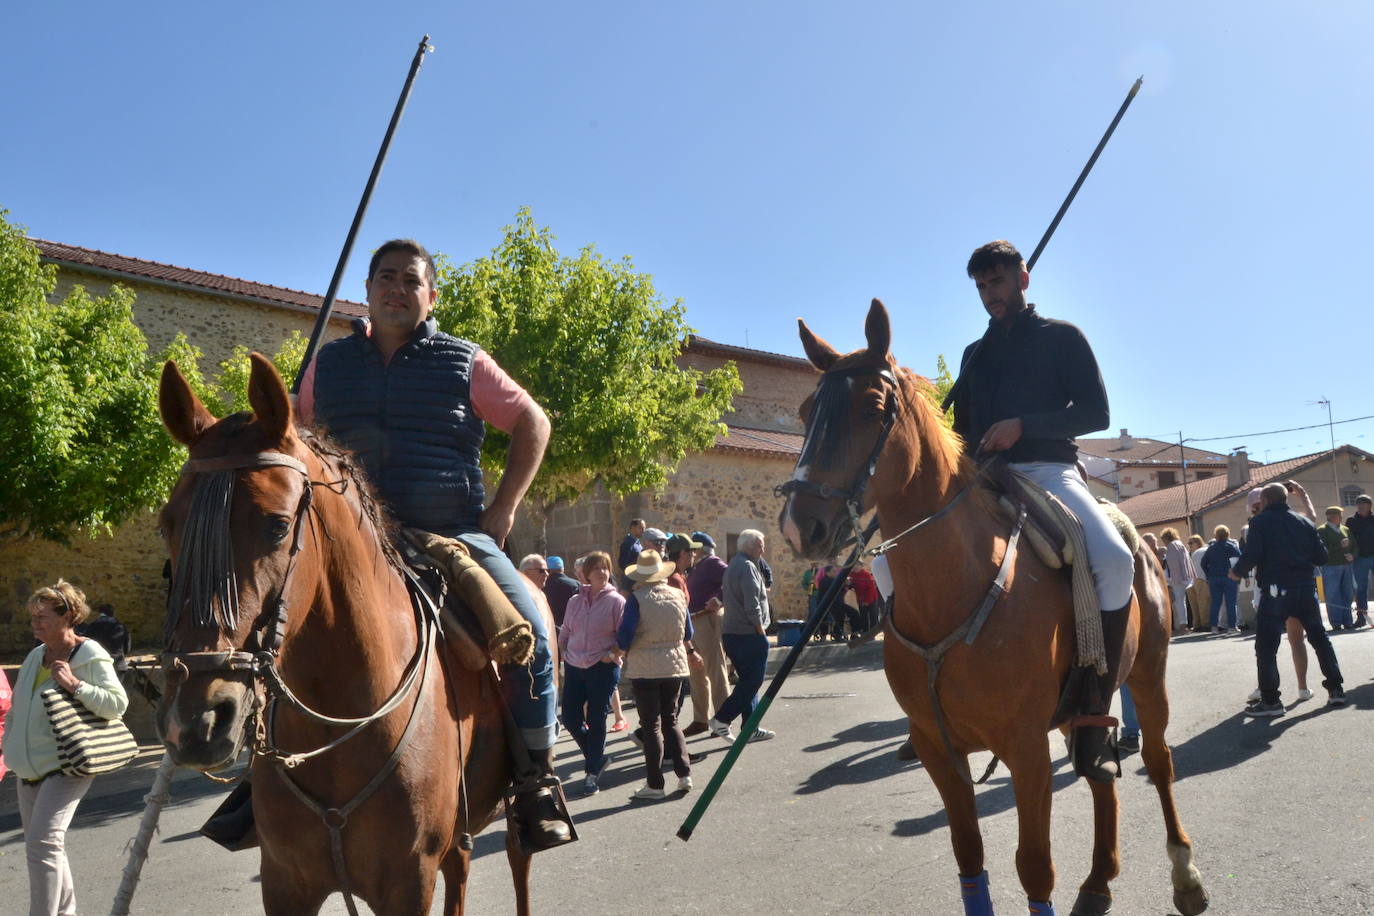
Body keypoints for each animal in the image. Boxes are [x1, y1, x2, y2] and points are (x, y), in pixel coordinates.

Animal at [155, 357, 527, 916]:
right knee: (461, 868)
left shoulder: (407, 884)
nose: (196, 722)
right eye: (166, 525)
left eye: (277, 525)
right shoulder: (284, 883)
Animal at [780, 302, 1209, 916]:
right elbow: (968, 856)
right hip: (1083, 710)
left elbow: (1034, 869)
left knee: (1158, 759)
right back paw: (1098, 880)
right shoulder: (938, 749)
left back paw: (1185, 874)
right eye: (805, 411)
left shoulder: (1025, 750)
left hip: (1148, 677)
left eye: (872, 407)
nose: (801, 526)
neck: (953, 587)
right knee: (1100, 774)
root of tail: (1142, 544)